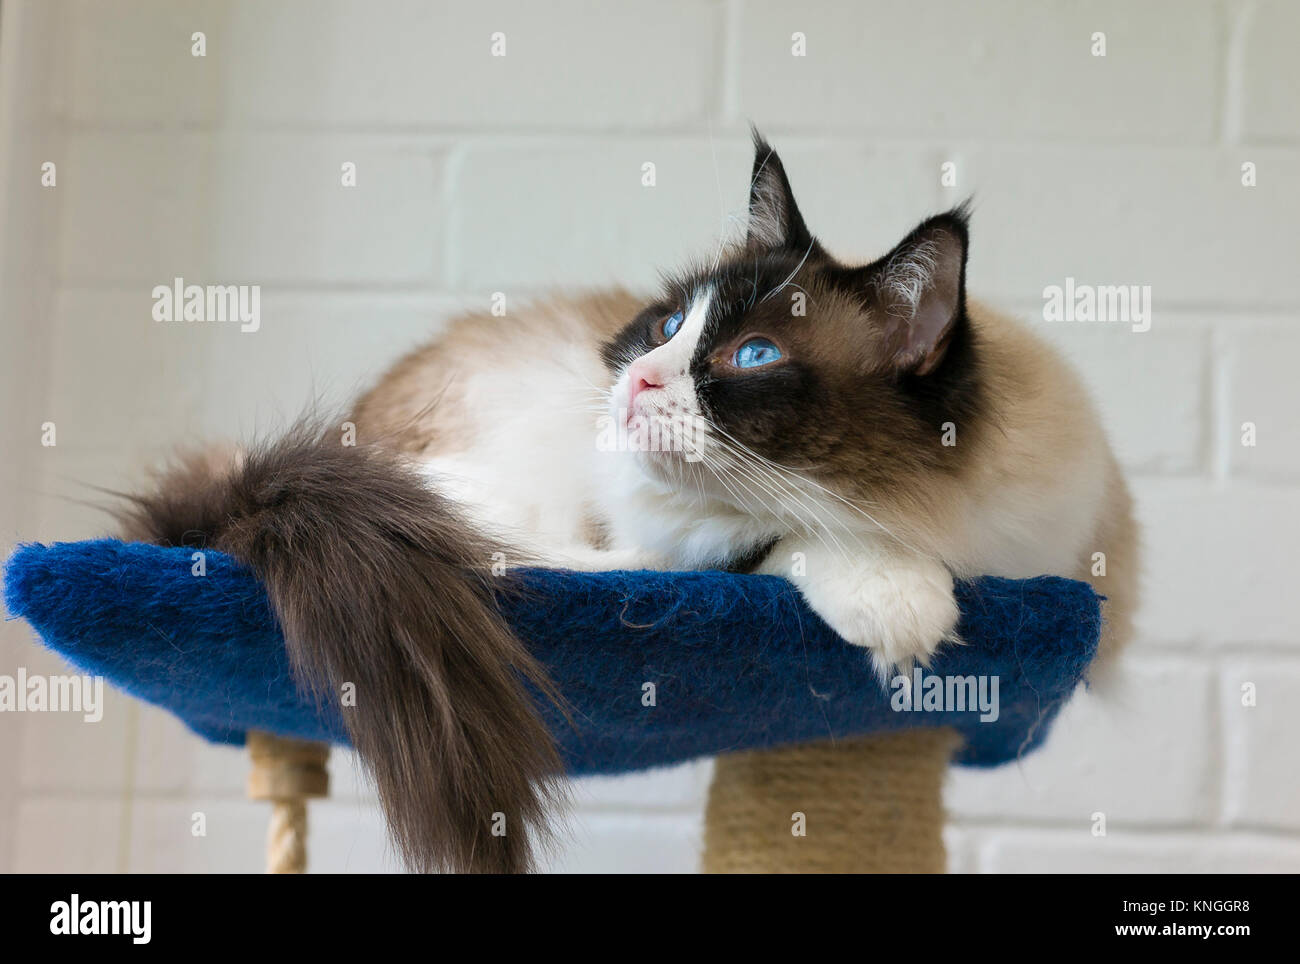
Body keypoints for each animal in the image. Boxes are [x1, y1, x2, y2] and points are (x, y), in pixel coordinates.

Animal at [122, 137, 1138, 883]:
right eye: (666, 328)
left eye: (754, 356)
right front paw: (902, 608)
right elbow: (790, 540)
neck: (932, 520)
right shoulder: (690, 537)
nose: (641, 377)